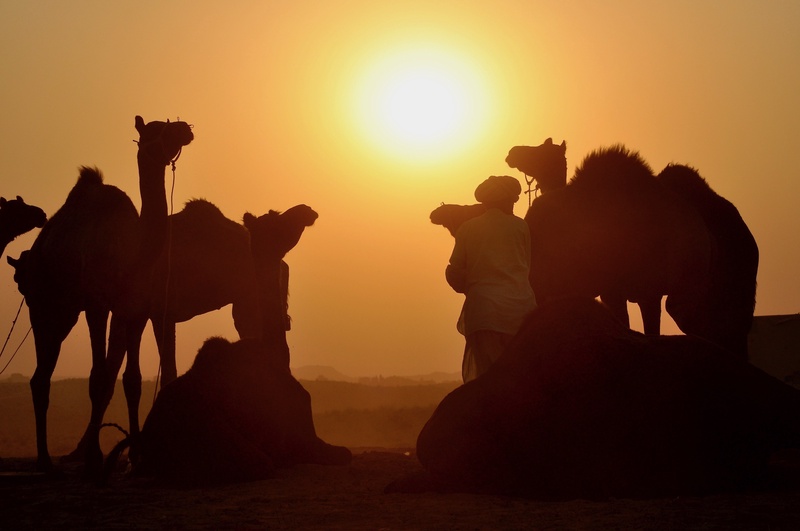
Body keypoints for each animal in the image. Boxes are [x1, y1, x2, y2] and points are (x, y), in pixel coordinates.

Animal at [12, 116, 193, 474]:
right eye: (155, 129)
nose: (186, 127)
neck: (134, 252)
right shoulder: (97, 306)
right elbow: (97, 378)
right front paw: (95, 458)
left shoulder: (135, 310)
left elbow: (132, 381)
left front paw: (136, 459)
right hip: (42, 304)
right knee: (40, 378)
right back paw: (44, 460)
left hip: (66, 311)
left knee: (43, 375)